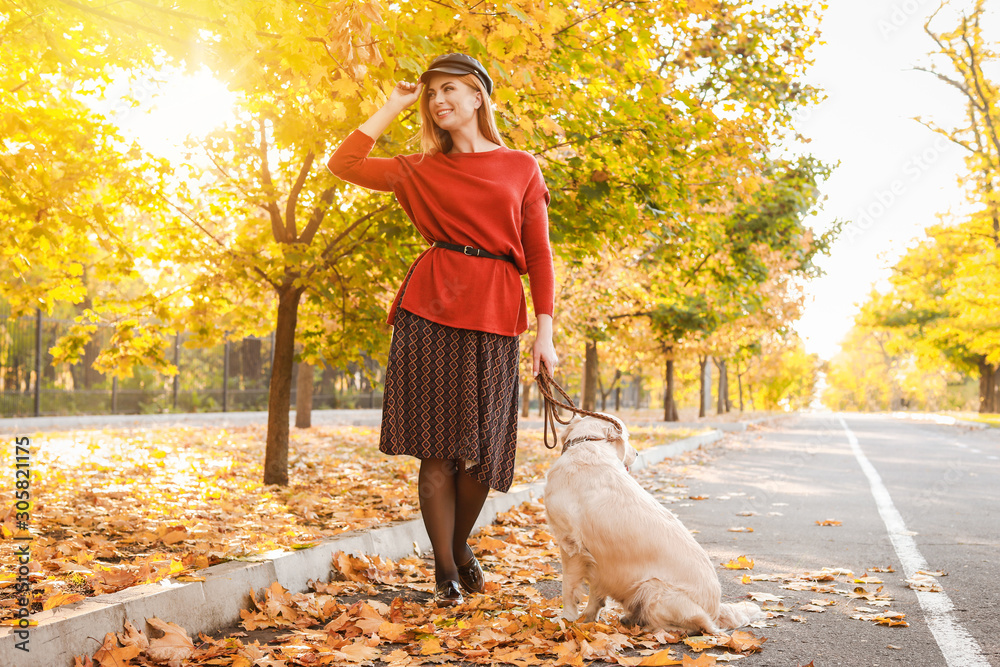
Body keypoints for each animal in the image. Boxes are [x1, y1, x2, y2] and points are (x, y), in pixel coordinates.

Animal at [544, 412, 760, 636]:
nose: (637, 453)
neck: (587, 445)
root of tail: (715, 610)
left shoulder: (571, 546)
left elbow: (568, 588)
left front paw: (566, 620)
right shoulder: (600, 561)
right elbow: (596, 593)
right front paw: (587, 619)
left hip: (653, 587)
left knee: (694, 626)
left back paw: (645, 625)